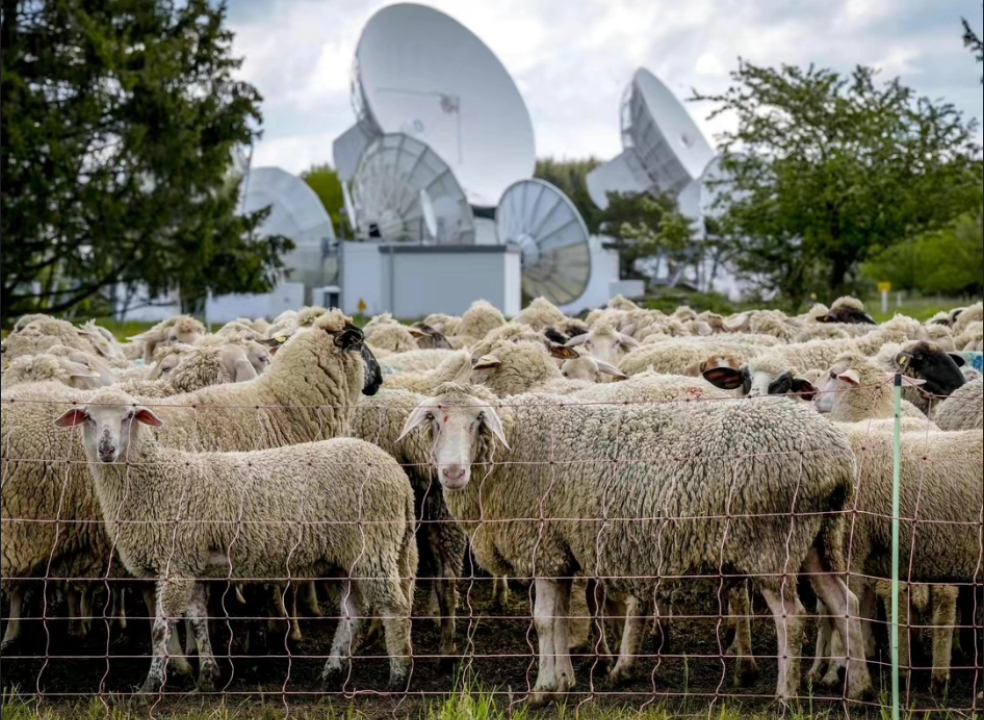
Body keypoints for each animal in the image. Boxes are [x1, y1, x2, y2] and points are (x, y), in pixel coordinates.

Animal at [56, 390, 418, 696]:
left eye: (129, 415)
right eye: (88, 417)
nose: (106, 450)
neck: (155, 479)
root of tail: (397, 475)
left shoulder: (175, 563)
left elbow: (161, 629)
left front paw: (150, 687)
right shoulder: (191, 565)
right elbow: (198, 621)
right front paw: (207, 678)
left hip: (372, 546)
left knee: (394, 607)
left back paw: (398, 678)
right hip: (346, 557)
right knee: (352, 612)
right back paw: (332, 673)